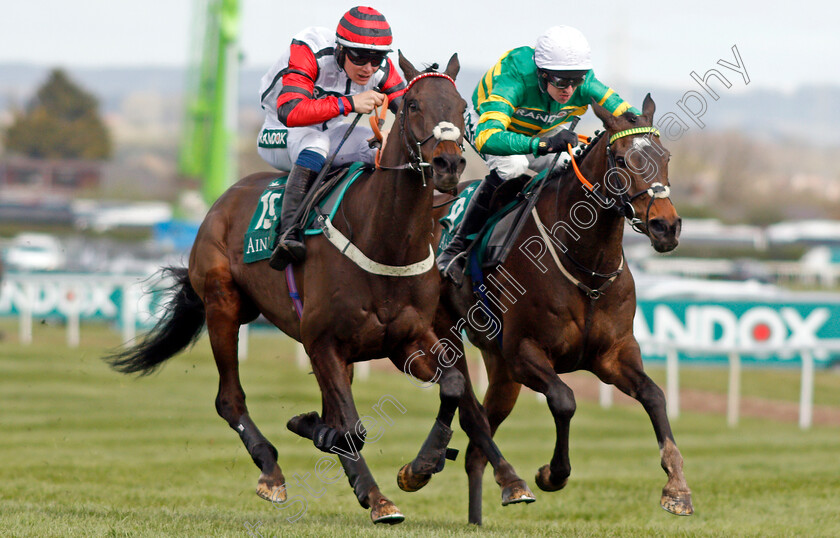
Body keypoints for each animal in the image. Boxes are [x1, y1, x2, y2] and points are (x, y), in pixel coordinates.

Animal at [103, 53, 532, 524]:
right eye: (413, 104)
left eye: (461, 107)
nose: (449, 165)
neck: (383, 239)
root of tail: (222, 200)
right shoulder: (323, 341)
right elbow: (352, 427)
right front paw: (376, 494)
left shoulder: (407, 339)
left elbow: (453, 386)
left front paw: (422, 466)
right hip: (224, 307)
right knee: (230, 399)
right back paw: (272, 470)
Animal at [436, 94, 692, 520]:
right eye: (621, 159)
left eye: (666, 156)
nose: (665, 227)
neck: (586, 266)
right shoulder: (524, 352)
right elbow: (564, 400)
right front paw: (551, 474)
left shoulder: (613, 354)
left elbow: (655, 395)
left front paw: (676, 486)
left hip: (500, 370)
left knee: (475, 449)